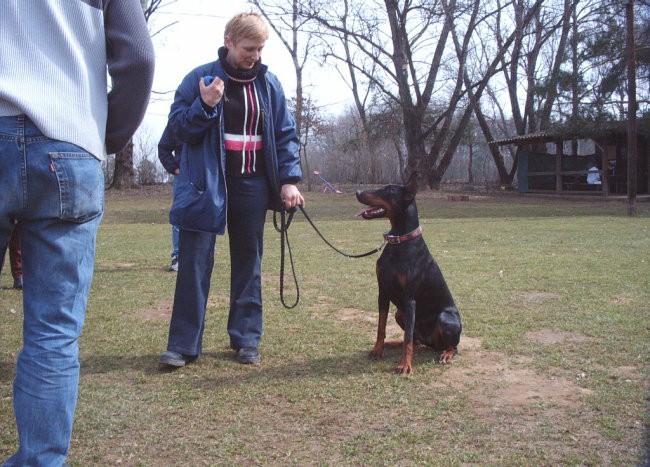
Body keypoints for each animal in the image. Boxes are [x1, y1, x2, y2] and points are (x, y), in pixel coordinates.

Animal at [354, 174, 460, 374]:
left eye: (388, 190)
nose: (357, 192)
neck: (399, 241)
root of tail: (432, 343)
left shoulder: (409, 299)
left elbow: (408, 338)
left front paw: (405, 365)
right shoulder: (383, 292)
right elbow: (381, 327)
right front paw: (377, 350)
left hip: (445, 318)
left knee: (453, 346)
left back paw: (446, 354)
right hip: (399, 313)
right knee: (414, 340)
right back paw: (392, 344)